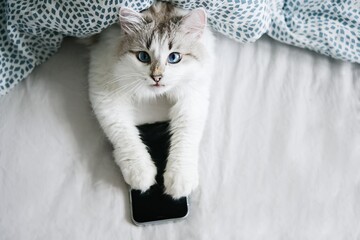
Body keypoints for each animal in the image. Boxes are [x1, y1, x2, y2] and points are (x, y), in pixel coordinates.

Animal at [88, 0, 214, 198]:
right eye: (143, 57)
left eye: (174, 57)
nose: (157, 78)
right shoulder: (105, 87)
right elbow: (123, 133)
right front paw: (140, 173)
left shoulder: (193, 95)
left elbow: (185, 136)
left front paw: (180, 179)